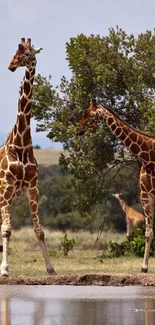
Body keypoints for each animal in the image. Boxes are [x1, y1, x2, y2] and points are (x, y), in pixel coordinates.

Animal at [77, 98, 155, 270]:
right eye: (84, 112)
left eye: (91, 115)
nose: (78, 130)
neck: (149, 157)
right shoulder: (146, 195)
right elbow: (148, 233)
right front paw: (144, 267)